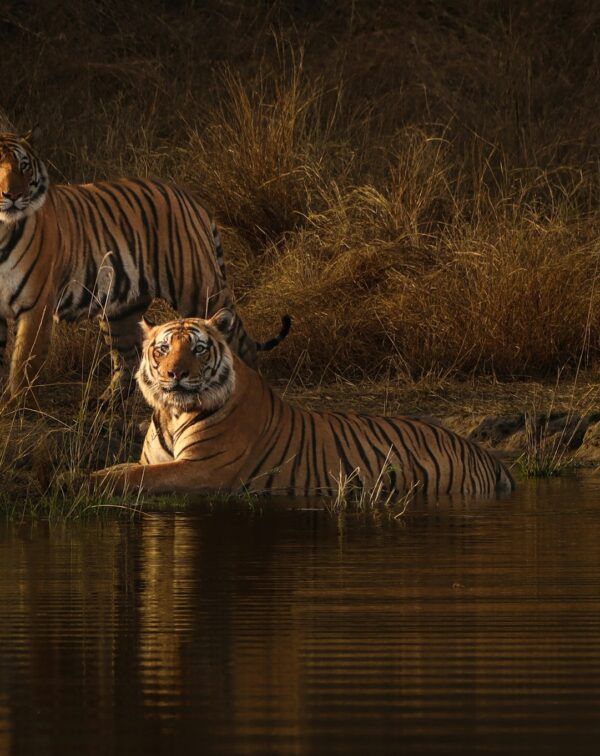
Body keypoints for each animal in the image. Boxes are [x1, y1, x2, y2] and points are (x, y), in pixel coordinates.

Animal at [0, 128, 290, 404]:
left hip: (200, 290)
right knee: (128, 360)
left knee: (240, 343)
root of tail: (190, 198)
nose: (12, 195)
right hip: (120, 309)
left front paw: (16, 406)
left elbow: (24, 362)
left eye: (23, 166)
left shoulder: (36, 306)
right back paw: (105, 403)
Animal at [90, 310, 515, 498]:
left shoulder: (203, 470)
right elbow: (121, 469)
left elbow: (130, 478)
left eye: (197, 348)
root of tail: (484, 453)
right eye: (163, 348)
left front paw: (77, 481)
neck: (172, 412)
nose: (175, 374)